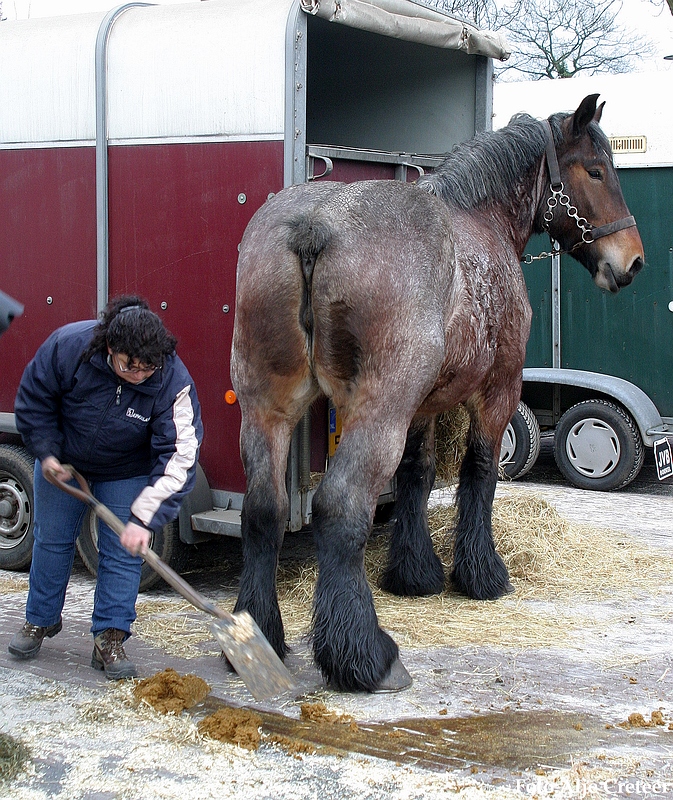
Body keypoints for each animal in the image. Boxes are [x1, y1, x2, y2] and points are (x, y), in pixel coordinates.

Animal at [228, 95, 644, 692]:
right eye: (595, 171)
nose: (631, 261)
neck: (483, 220)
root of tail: (313, 227)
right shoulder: (498, 391)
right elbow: (479, 473)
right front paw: (481, 575)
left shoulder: (421, 409)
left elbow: (416, 477)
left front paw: (414, 573)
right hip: (377, 412)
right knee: (340, 506)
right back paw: (364, 655)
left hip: (268, 408)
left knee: (264, 509)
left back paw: (262, 636)